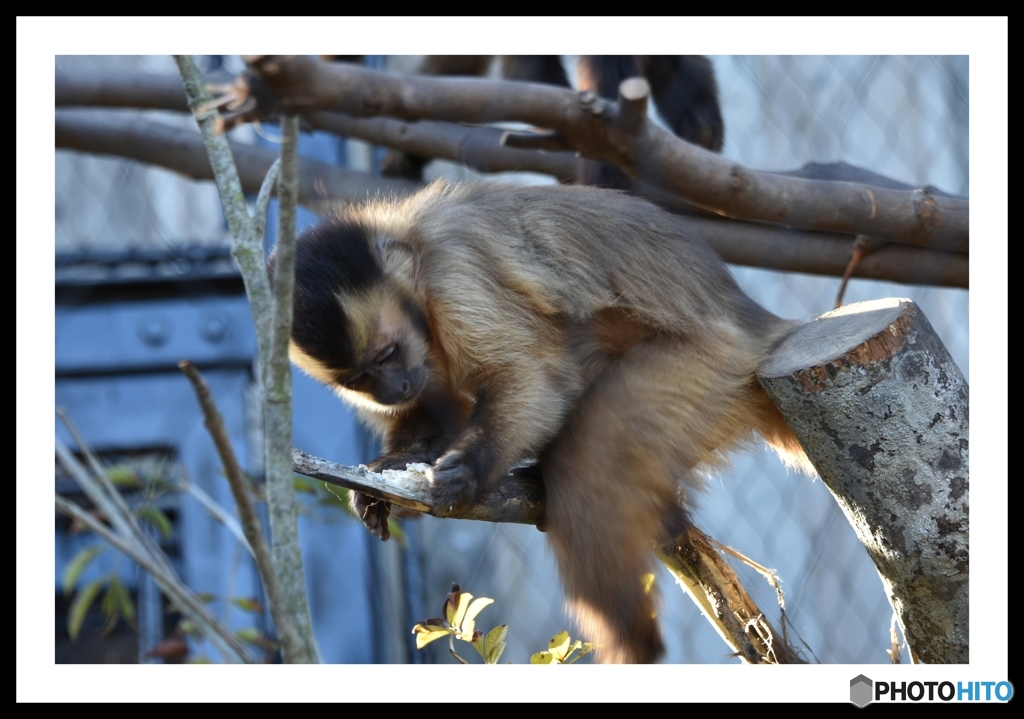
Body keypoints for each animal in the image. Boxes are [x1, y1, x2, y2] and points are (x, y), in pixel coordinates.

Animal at [270, 183, 806, 667]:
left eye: (386, 354)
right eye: (359, 379)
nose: (394, 388)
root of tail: (764, 332)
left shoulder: (454, 274)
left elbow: (535, 377)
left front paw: (468, 470)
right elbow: (430, 416)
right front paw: (384, 479)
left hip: (710, 365)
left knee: (592, 457)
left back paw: (634, 647)